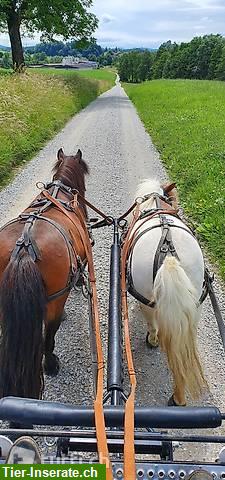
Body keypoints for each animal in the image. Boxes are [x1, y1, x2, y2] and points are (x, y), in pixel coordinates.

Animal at [128, 179, 207, 404]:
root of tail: (169, 254)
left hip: (145, 299)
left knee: (153, 323)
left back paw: (153, 341)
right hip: (195, 303)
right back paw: (179, 397)